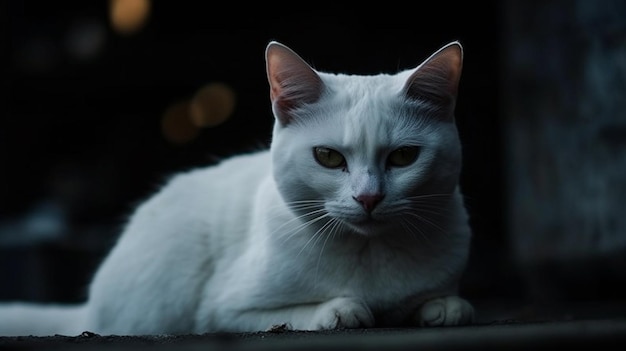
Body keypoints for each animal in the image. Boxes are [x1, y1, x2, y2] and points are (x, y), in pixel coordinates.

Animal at [0, 40, 470, 336]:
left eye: (404, 157)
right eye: (328, 157)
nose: (368, 197)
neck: (369, 253)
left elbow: (441, 300)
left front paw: (444, 306)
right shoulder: (220, 309)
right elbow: (293, 313)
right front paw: (342, 309)